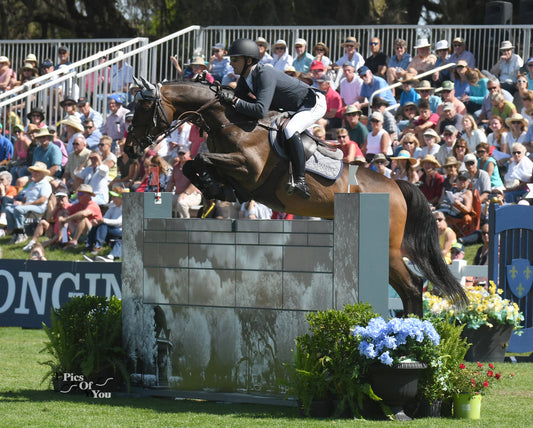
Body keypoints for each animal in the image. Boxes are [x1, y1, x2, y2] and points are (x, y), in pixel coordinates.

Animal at [125, 78, 466, 316]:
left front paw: (213, 187)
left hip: (391, 250)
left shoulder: (248, 168)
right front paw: (215, 189)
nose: (129, 149)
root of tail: (396, 186)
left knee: (412, 286)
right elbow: (196, 164)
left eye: (143, 108)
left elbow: (199, 160)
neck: (232, 121)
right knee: (409, 288)